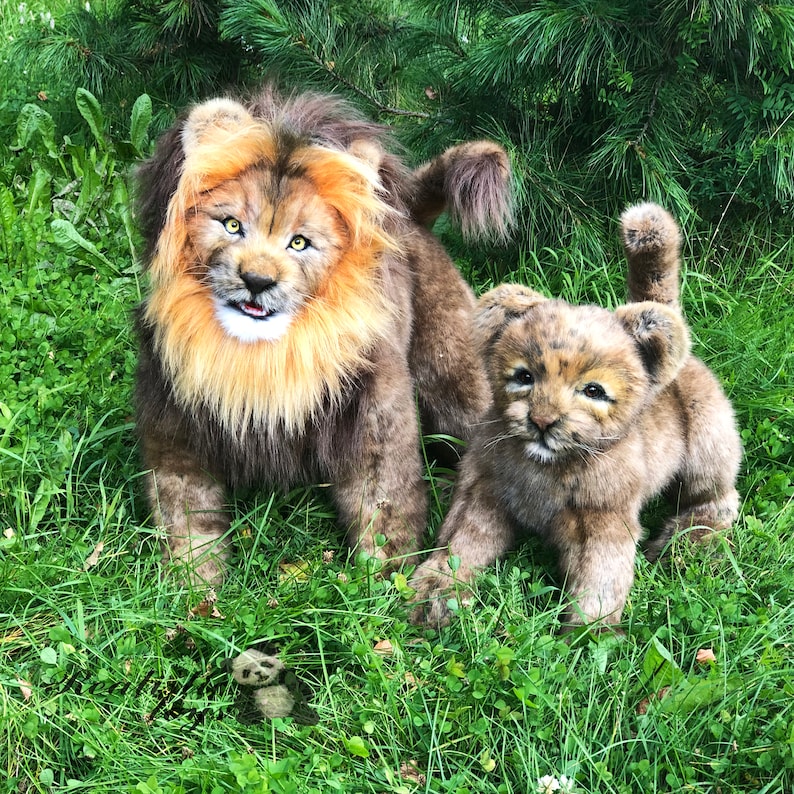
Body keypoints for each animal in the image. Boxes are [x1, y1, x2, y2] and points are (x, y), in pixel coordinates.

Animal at [134, 86, 513, 586]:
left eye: (299, 242)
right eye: (232, 225)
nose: (257, 280)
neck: (260, 356)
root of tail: (409, 216)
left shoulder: (374, 428)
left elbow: (385, 511)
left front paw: (382, 587)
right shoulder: (175, 435)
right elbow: (186, 521)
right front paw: (193, 589)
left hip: (452, 374)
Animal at [410, 202, 742, 630]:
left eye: (593, 391)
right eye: (524, 377)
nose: (542, 422)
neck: (546, 469)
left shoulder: (603, 523)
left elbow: (600, 581)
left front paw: (589, 637)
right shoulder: (485, 495)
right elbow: (461, 545)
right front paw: (433, 593)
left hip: (707, 445)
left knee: (719, 499)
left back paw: (686, 544)